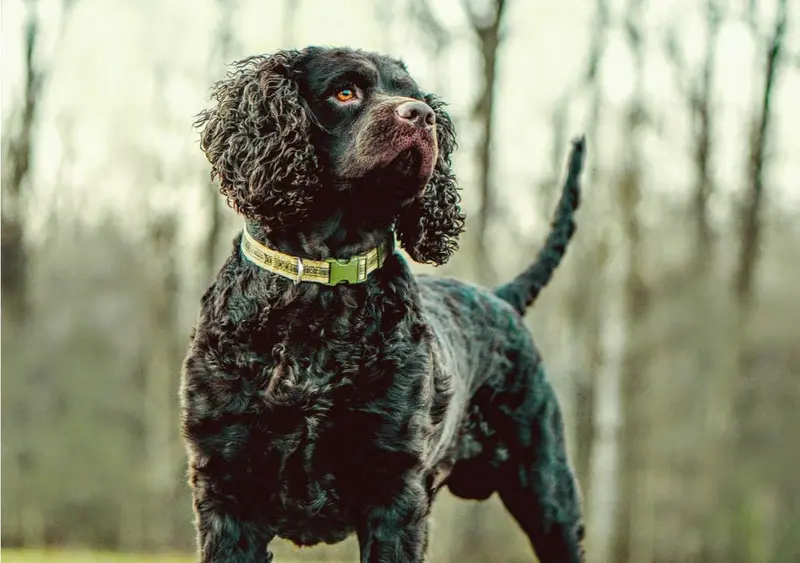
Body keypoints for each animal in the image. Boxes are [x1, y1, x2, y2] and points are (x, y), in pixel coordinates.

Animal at [181, 46, 584, 560]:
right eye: (345, 92)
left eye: (413, 95)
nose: (423, 116)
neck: (319, 294)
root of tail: (499, 297)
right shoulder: (226, 487)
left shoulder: (393, 489)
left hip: (548, 492)